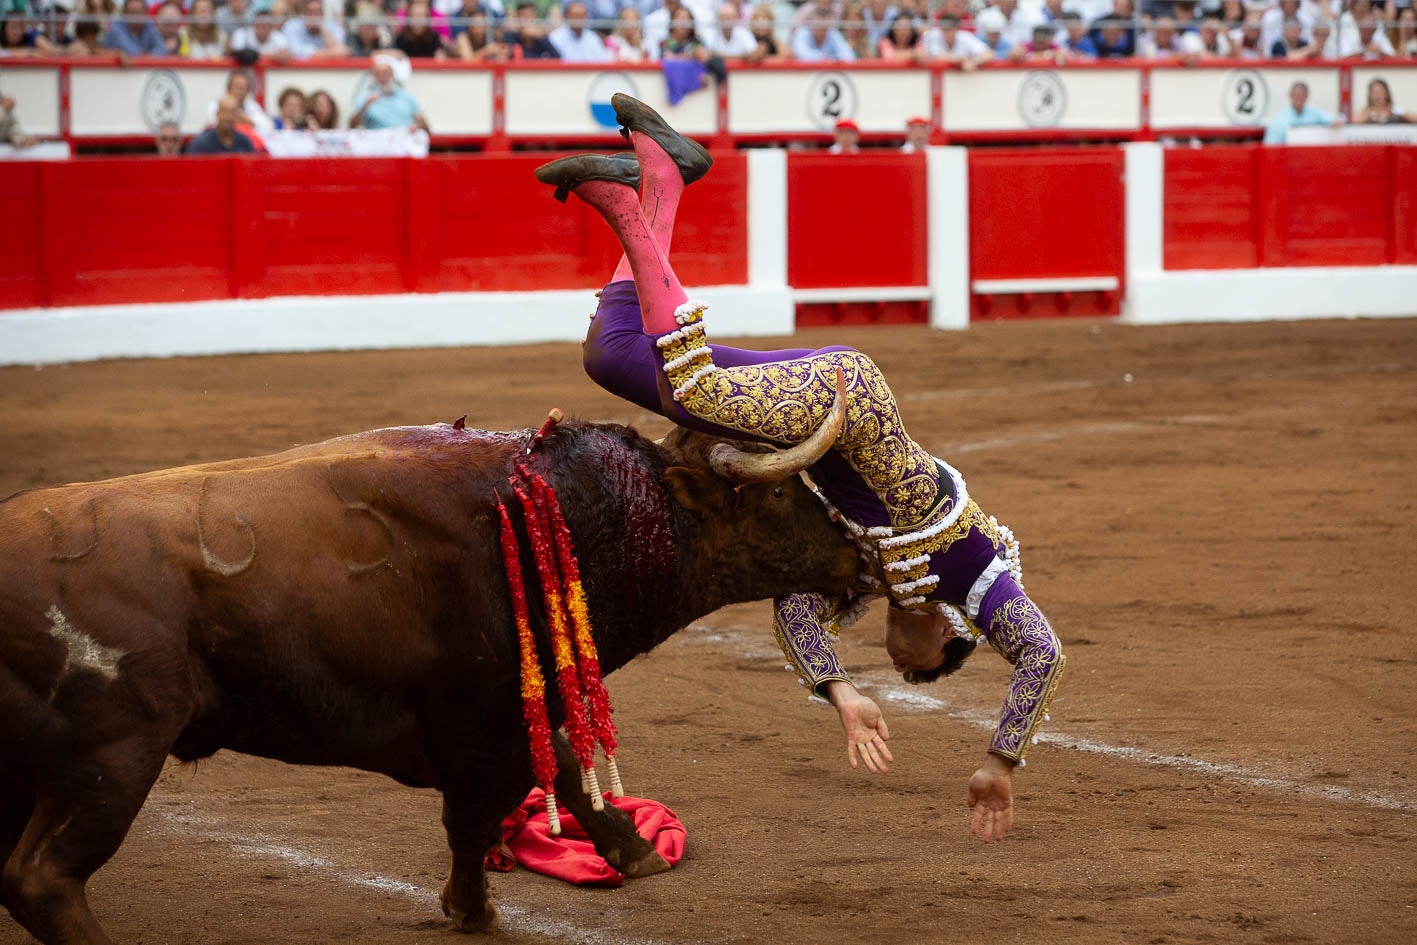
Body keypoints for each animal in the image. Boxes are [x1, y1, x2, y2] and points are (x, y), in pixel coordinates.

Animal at [0, 391, 855, 945]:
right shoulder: (483, 721)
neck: (572, 511)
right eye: (780, 495)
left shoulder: (512, 714)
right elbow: (478, 816)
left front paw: (633, 853)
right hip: (113, 756)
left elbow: (563, 767)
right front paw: (472, 910)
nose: (859, 550)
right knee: (44, 879)